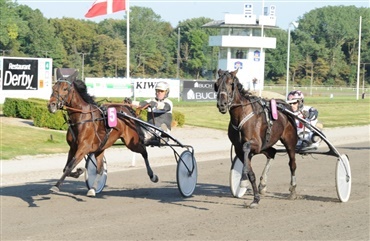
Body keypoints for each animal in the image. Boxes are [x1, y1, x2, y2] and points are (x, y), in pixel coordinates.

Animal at [214, 68, 298, 208]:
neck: (241, 116)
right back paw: (263, 185)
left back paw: (292, 190)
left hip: (289, 141)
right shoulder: (239, 149)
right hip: (266, 145)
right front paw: (255, 198)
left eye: (231, 83)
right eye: (216, 84)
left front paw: (243, 181)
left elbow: (246, 147)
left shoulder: (255, 144)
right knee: (272, 152)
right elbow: (250, 173)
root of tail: (285, 106)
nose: (222, 104)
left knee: (292, 164)